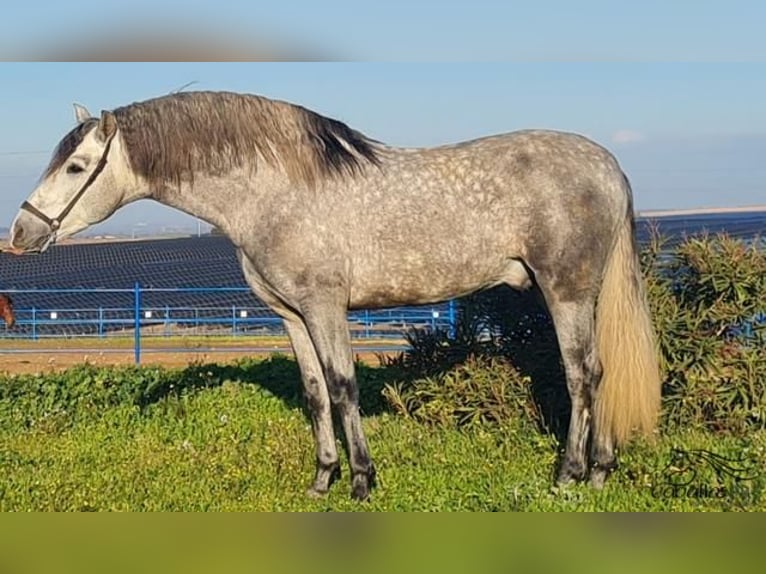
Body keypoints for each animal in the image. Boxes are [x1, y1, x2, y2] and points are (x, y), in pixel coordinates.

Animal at [9, 92, 664, 502]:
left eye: (76, 167)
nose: (19, 233)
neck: (272, 191)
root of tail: (608, 164)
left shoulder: (327, 308)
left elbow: (345, 386)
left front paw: (362, 481)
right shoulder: (291, 315)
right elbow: (316, 392)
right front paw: (322, 479)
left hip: (566, 292)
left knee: (583, 374)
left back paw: (570, 474)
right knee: (600, 371)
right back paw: (602, 471)